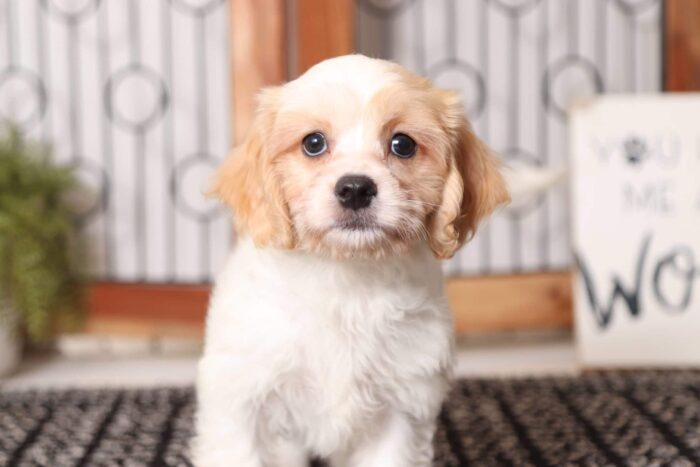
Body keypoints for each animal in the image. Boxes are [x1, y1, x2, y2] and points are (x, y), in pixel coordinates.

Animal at [194, 55, 512, 467]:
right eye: (313, 143)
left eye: (402, 144)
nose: (356, 188)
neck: (346, 276)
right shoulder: (241, 394)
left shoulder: (402, 406)